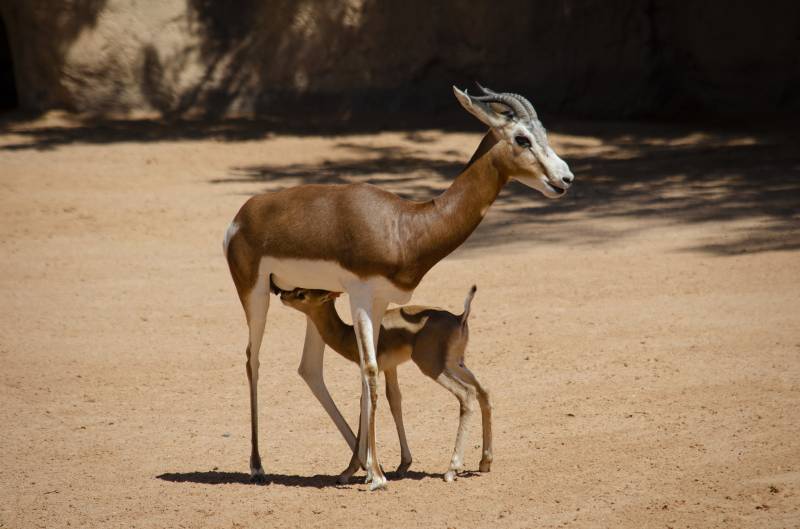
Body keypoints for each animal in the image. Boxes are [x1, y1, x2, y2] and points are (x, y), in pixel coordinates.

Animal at [282, 284, 494, 482]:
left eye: (301, 294)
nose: (283, 295)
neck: (348, 335)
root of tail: (459, 318)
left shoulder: (370, 371)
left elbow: (364, 404)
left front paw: (349, 472)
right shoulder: (391, 368)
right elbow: (394, 401)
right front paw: (403, 464)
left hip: (433, 367)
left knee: (467, 393)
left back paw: (451, 470)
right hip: (455, 364)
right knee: (483, 391)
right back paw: (485, 462)